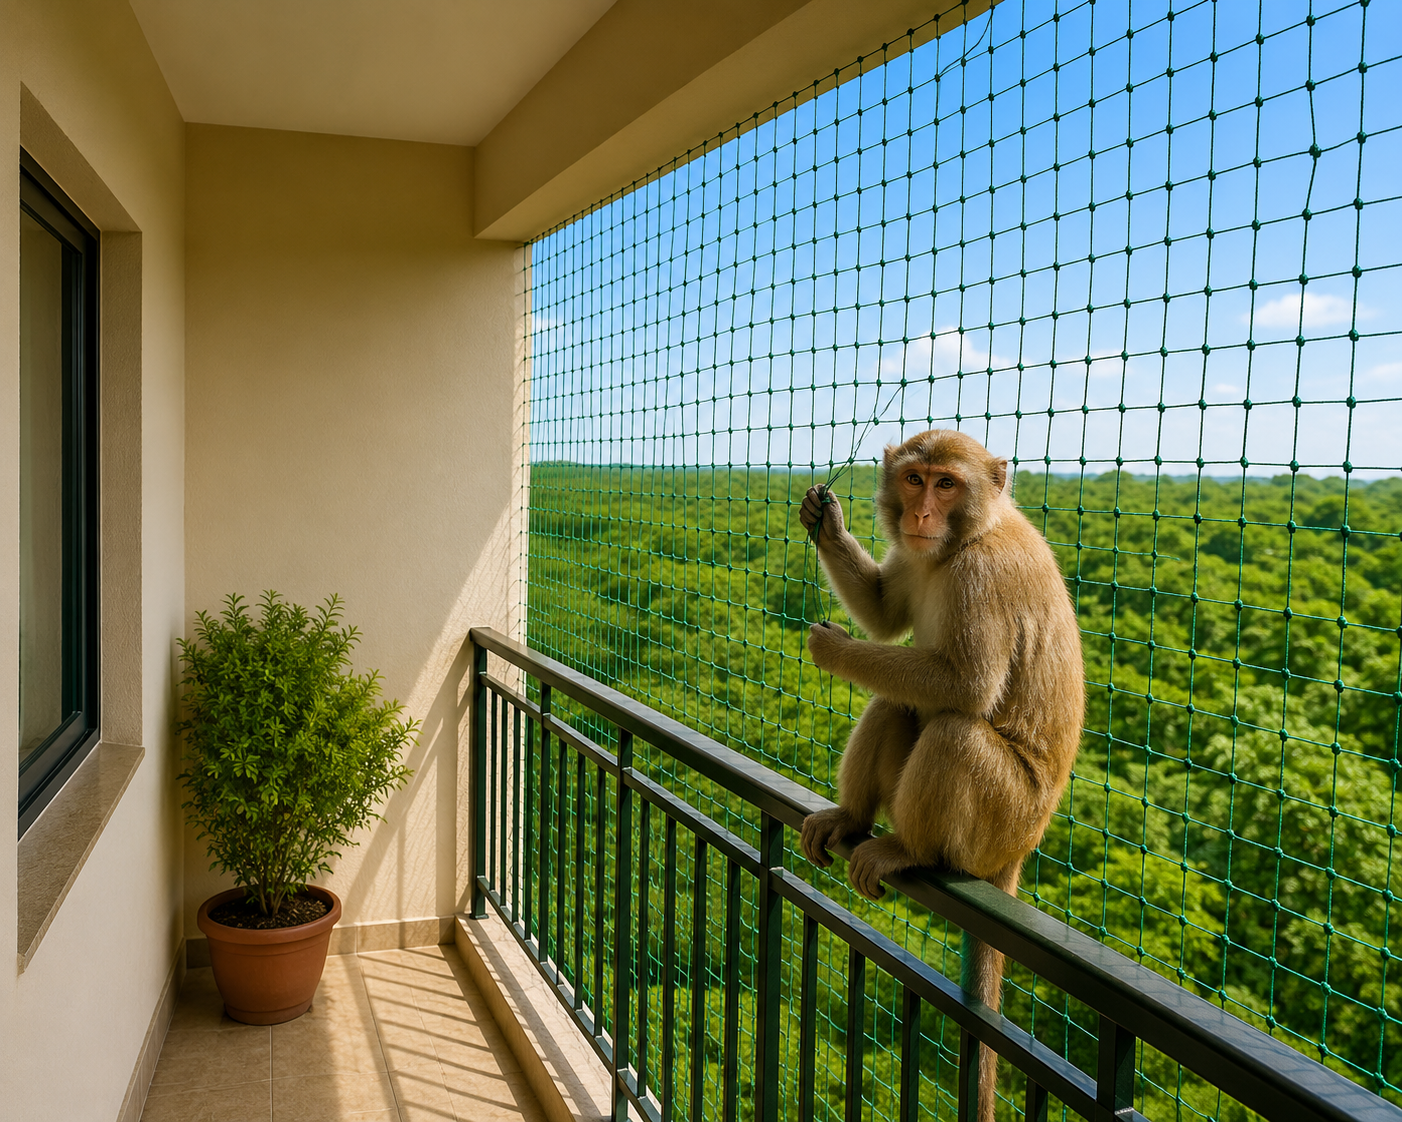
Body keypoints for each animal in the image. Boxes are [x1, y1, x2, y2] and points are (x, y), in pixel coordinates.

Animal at [797, 429, 1084, 1122]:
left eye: (947, 484)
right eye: (914, 479)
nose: (922, 514)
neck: (961, 543)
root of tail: (1019, 851)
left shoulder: (983, 578)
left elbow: (967, 686)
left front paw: (835, 649)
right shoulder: (917, 556)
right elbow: (883, 614)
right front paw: (825, 519)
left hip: (1001, 819)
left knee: (955, 730)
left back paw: (909, 849)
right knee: (896, 704)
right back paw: (851, 817)